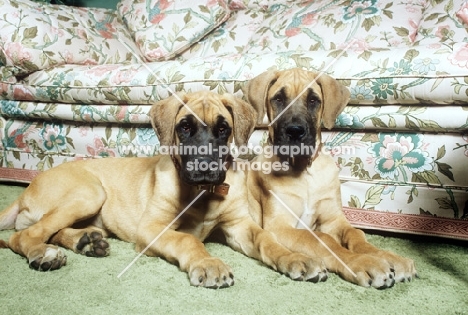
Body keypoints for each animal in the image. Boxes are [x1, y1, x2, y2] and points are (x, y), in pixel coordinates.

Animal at [0, 90, 326, 288]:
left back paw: (86, 241)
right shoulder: (152, 229)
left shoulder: (239, 226)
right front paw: (208, 263)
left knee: (46, 230)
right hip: (89, 193)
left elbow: (266, 240)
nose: (205, 166)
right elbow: (187, 240)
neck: (202, 194)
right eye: (184, 127)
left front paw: (295, 258)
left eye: (223, 129)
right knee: (22, 235)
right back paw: (44, 254)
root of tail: (28, 188)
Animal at [245, 69, 416, 292]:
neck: (304, 172)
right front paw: (362, 262)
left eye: (313, 100)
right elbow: (322, 240)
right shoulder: (279, 226)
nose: (295, 131)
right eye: (279, 99)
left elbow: (357, 235)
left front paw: (388, 257)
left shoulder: (334, 220)